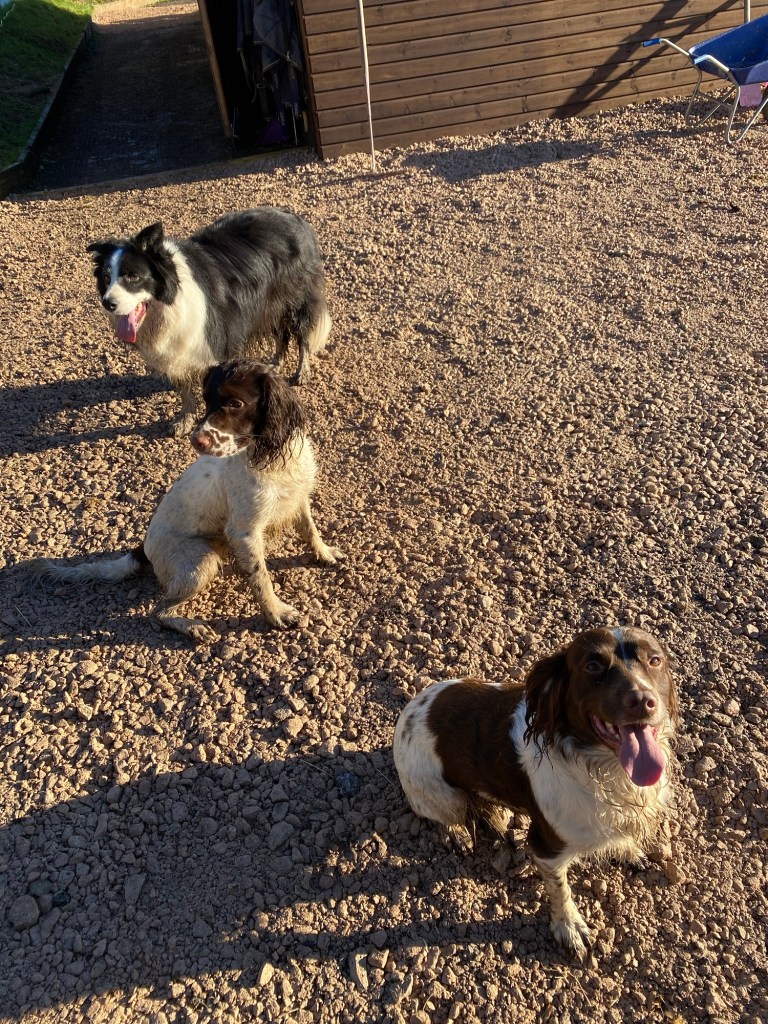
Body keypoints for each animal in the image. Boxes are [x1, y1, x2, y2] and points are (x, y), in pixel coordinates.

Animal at [30, 361, 343, 643]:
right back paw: (193, 627)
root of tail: (143, 550)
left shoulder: (298, 498)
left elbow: (310, 530)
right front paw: (276, 612)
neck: (272, 459)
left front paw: (324, 553)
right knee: (158, 612)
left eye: (235, 402)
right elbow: (260, 576)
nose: (196, 440)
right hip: (200, 562)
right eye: (206, 400)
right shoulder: (244, 531)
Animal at [87, 207, 332, 435]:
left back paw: (302, 372)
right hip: (270, 304)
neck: (171, 301)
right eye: (106, 277)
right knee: (281, 333)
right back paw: (275, 363)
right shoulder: (178, 348)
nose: (108, 303)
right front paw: (184, 421)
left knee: (302, 336)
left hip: (295, 299)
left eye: (134, 276)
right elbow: (185, 392)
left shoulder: (216, 341)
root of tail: (294, 218)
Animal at [393, 627, 678, 956]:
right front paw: (569, 927)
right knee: (446, 813)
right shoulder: (544, 845)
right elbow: (560, 889)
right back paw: (457, 832)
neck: (605, 770)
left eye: (655, 660)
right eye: (593, 666)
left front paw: (626, 849)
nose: (643, 701)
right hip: (443, 795)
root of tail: (410, 711)